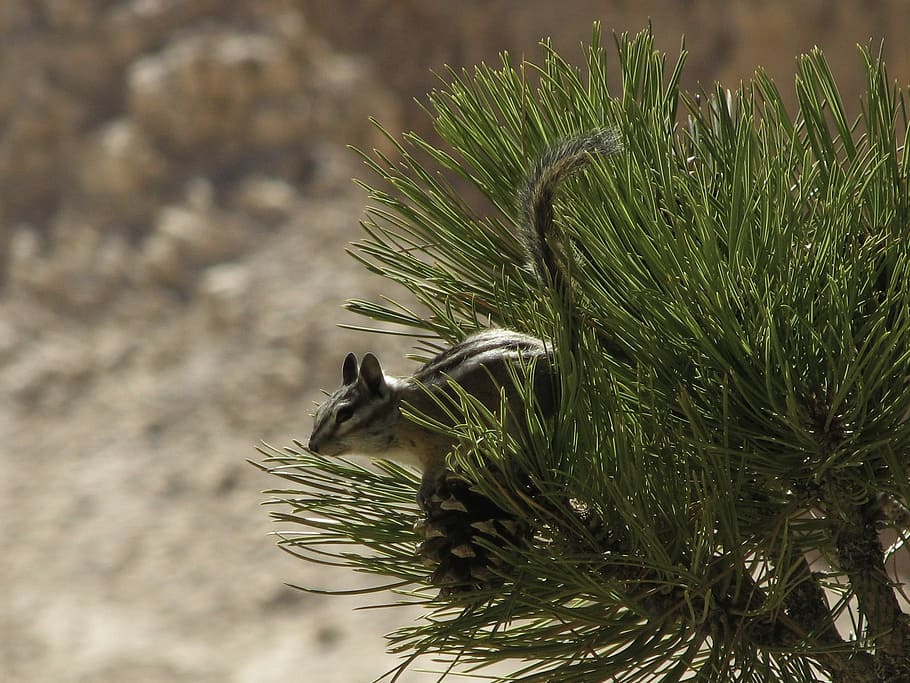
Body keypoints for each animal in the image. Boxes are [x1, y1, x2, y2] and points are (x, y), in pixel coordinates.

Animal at [307, 130, 621, 508]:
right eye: (319, 412)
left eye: (345, 413)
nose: (312, 446)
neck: (400, 412)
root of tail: (561, 352)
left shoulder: (438, 443)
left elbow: (435, 469)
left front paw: (425, 495)